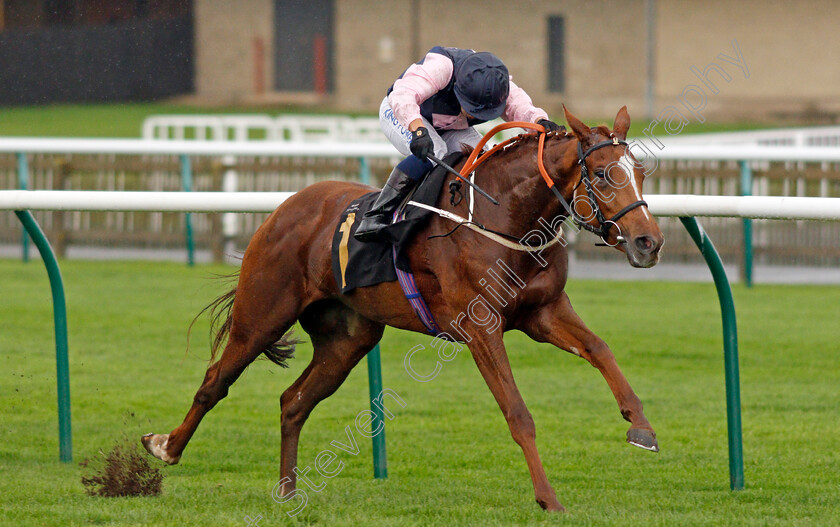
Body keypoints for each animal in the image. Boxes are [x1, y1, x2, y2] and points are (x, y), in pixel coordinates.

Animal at [143, 106, 664, 512]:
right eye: (603, 175)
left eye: (641, 173)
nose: (649, 243)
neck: (503, 217)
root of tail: (285, 207)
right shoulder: (482, 328)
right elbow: (518, 413)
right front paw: (548, 498)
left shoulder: (545, 312)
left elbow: (601, 349)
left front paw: (641, 427)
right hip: (262, 315)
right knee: (216, 381)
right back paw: (165, 446)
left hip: (348, 339)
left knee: (294, 401)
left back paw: (288, 491)